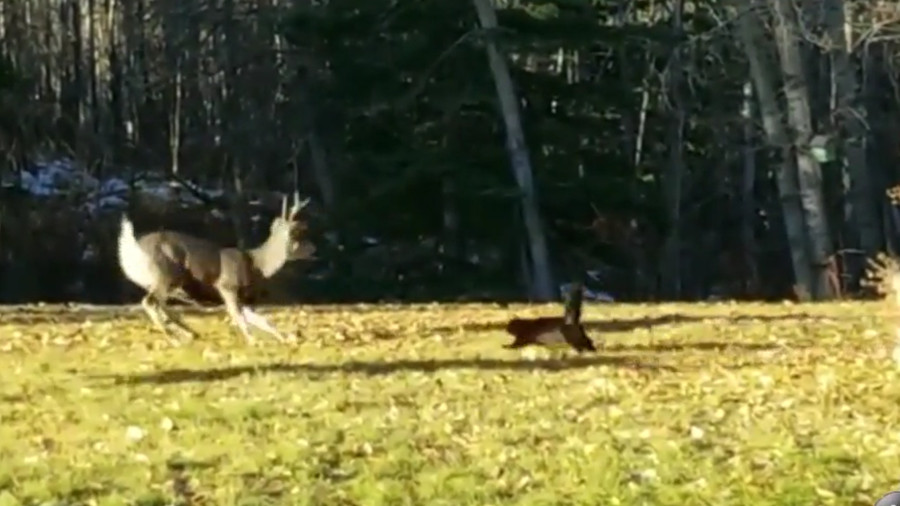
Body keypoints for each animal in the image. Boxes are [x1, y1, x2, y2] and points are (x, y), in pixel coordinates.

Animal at [117, 192, 315, 345]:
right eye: (297, 234)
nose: (314, 248)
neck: (257, 264)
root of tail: (132, 247)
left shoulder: (242, 297)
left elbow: (263, 320)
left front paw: (286, 338)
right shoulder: (227, 286)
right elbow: (237, 315)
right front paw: (253, 340)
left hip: (161, 281)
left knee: (160, 306)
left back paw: (190, 333)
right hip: (166, 274)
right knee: (150, 302)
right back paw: (175, 339)